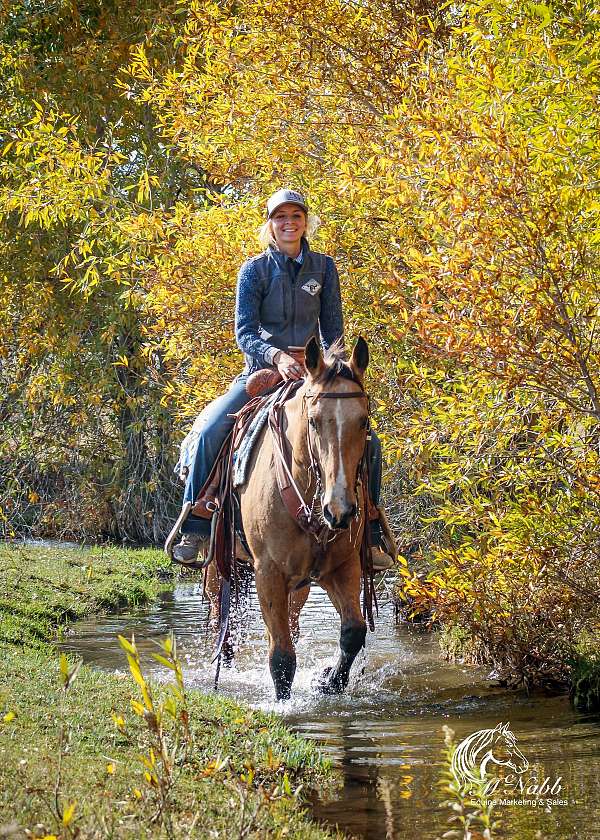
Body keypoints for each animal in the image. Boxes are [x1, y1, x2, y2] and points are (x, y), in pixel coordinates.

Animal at [206, 336, 376, 704]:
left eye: (363, 421)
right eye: (313, 421)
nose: (339, 510)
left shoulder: (342, 566)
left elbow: (353, 631)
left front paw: (329, 681)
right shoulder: (267, 572)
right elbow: (281, 657)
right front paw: (285, 704)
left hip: (300, 584)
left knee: (294, 623)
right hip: (216, 565)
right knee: (218, 620)